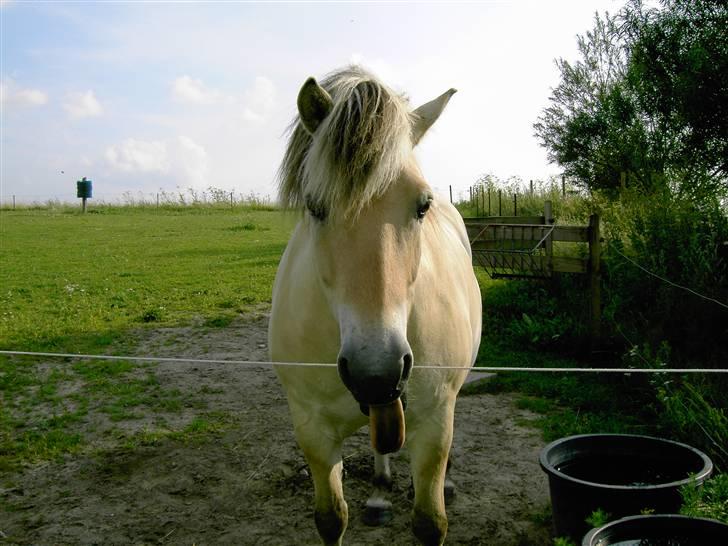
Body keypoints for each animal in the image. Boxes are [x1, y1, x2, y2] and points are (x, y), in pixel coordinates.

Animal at [268, 65, 484, 544]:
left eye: (423, 204)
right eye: (314, 207)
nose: (376, 372)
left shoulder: (434, 425)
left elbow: (430, 522)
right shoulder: (312, 430)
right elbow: (331, 519)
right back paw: (381, 488)